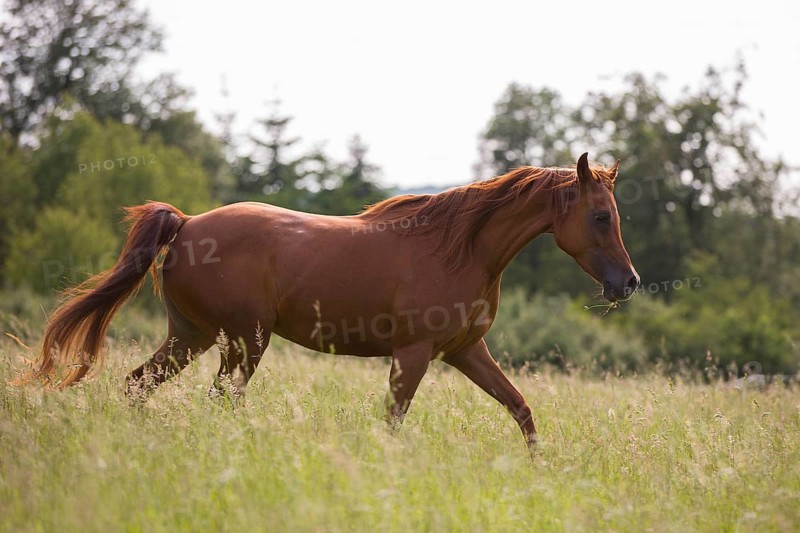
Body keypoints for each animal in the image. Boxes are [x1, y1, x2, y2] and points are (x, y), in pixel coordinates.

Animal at [22, 153, 638, 448]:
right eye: (599, 216)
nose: (628, 283)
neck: (459, 248)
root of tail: (189, 222)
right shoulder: (413, 353)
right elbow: (393, 420)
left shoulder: (466, 352)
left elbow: (521, 409)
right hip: (242, 342)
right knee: (220, 400)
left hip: (192, 337)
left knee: (138, 385)